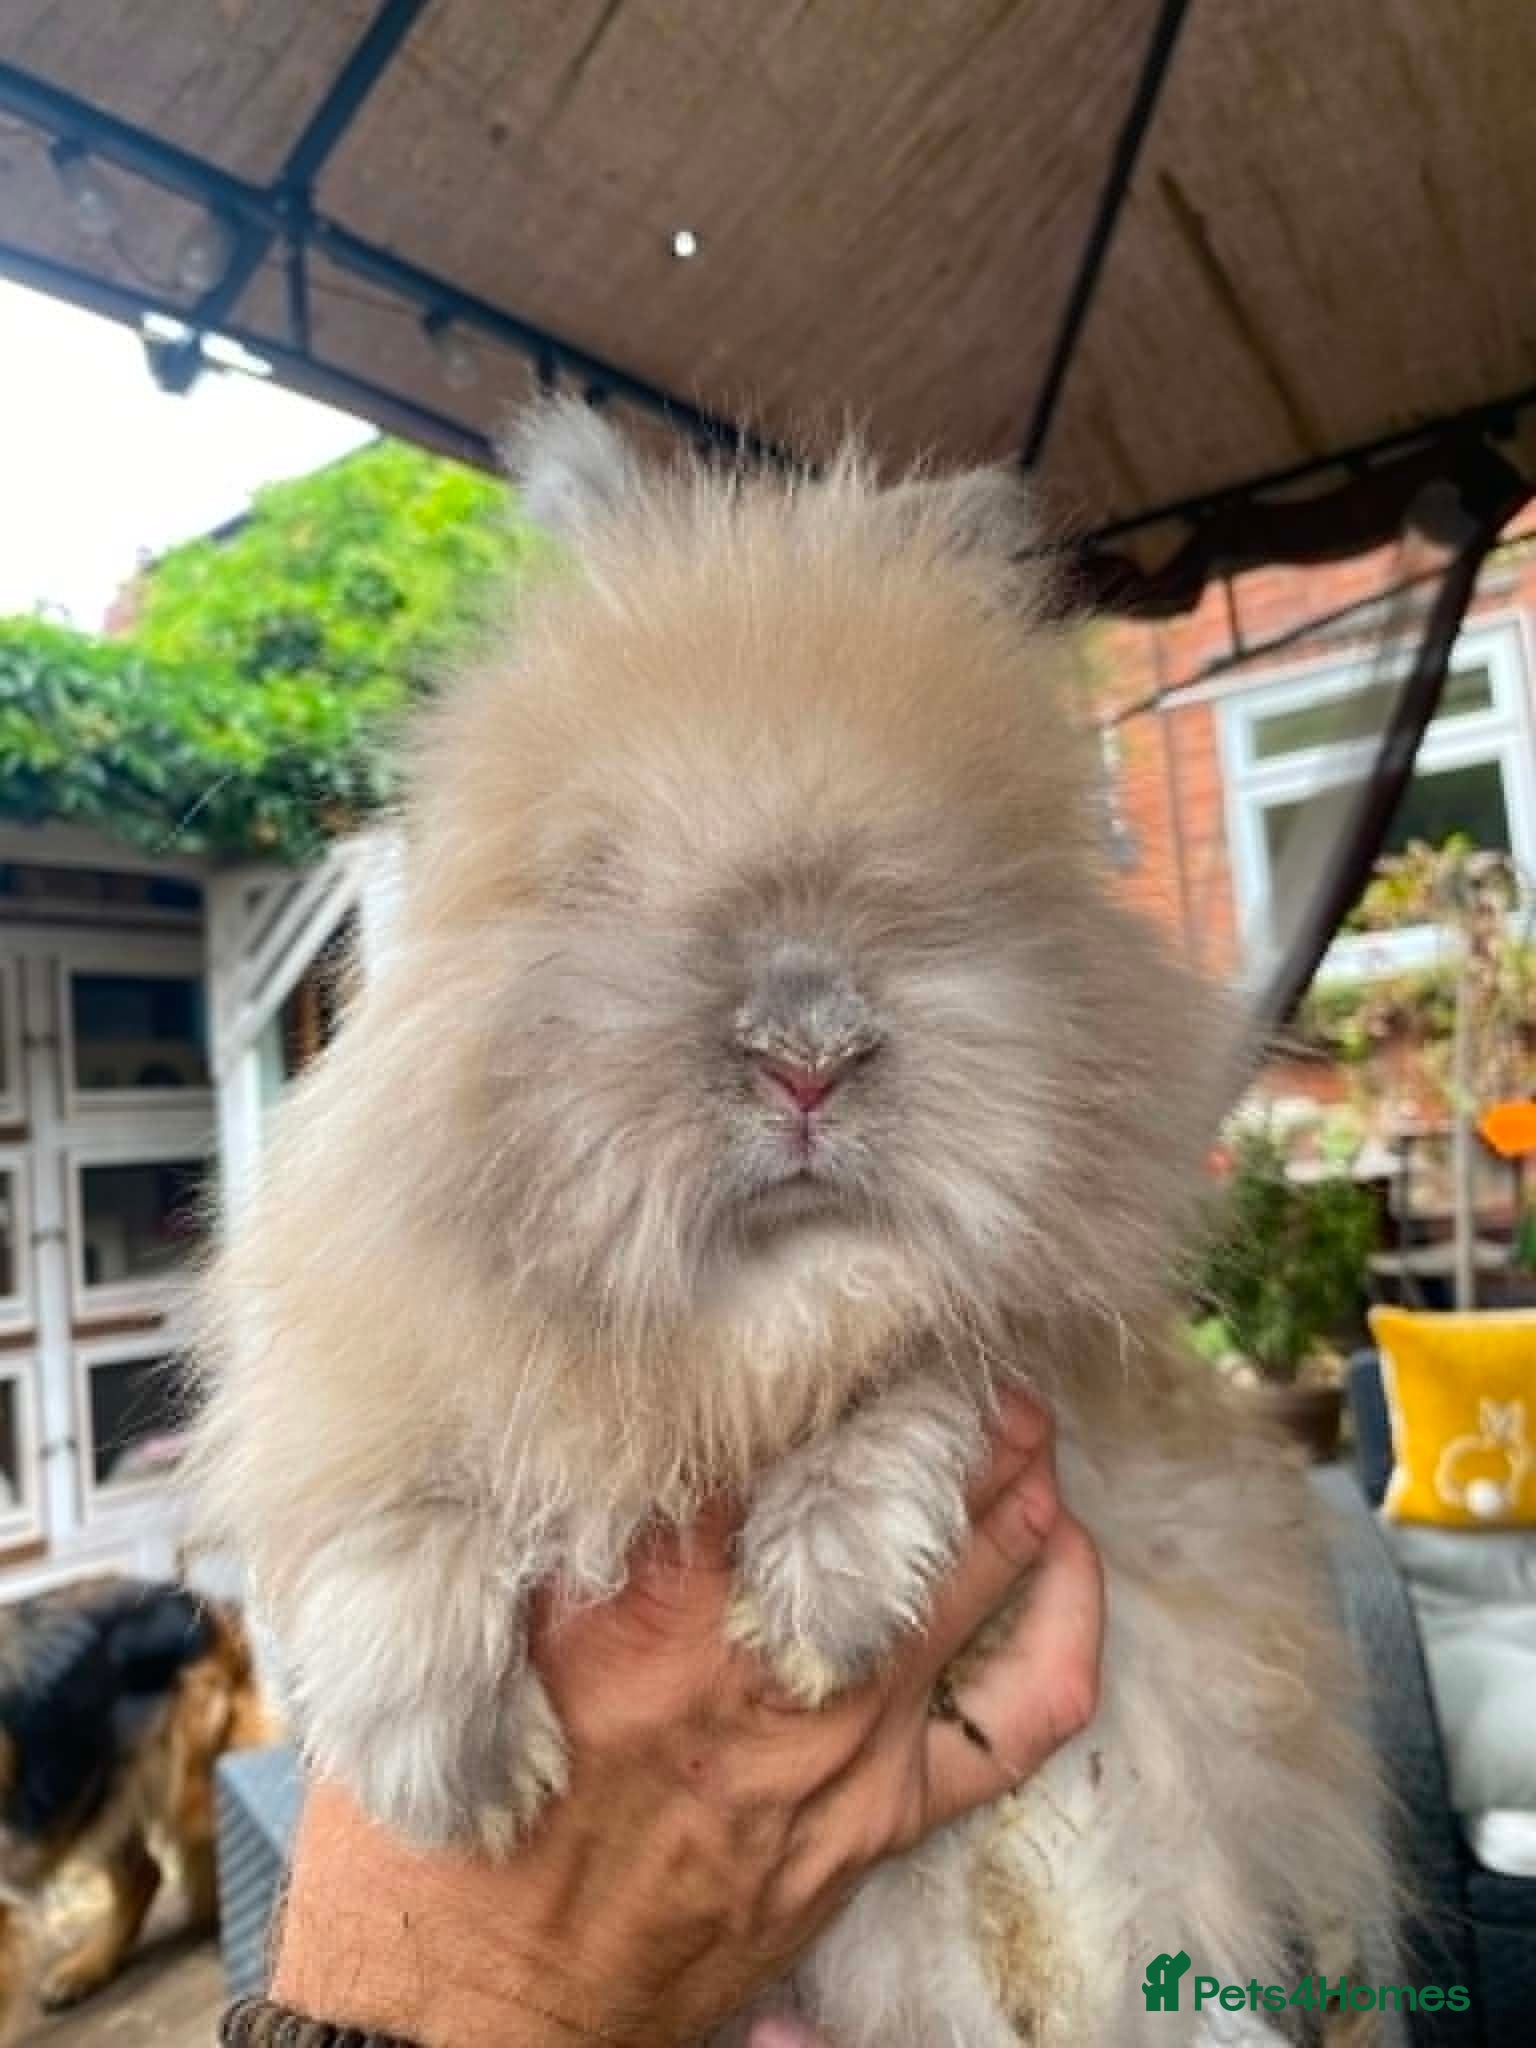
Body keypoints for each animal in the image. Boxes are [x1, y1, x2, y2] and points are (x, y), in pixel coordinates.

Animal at [191, 402, 1390, 2045]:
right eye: (598, 868)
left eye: (951, 875)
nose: (809, 1050)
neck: (748, 1318)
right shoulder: (356, 1367)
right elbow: (381, 1506)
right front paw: (456, 1772)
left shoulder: (1024, 1371)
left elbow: (921, 1375)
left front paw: (826, 1602)